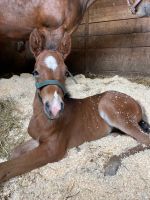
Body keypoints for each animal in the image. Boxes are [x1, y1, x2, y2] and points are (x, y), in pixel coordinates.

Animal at [0, 48, 149, 183]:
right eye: (35, 72)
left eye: (66, 73)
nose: (55, 108)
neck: (42, 119)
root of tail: (136, 102)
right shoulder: (38, 140)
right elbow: (14, 153)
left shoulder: (52, 149)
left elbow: (7, 167)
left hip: (111, 108)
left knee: (145, 139)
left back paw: (111, 164)